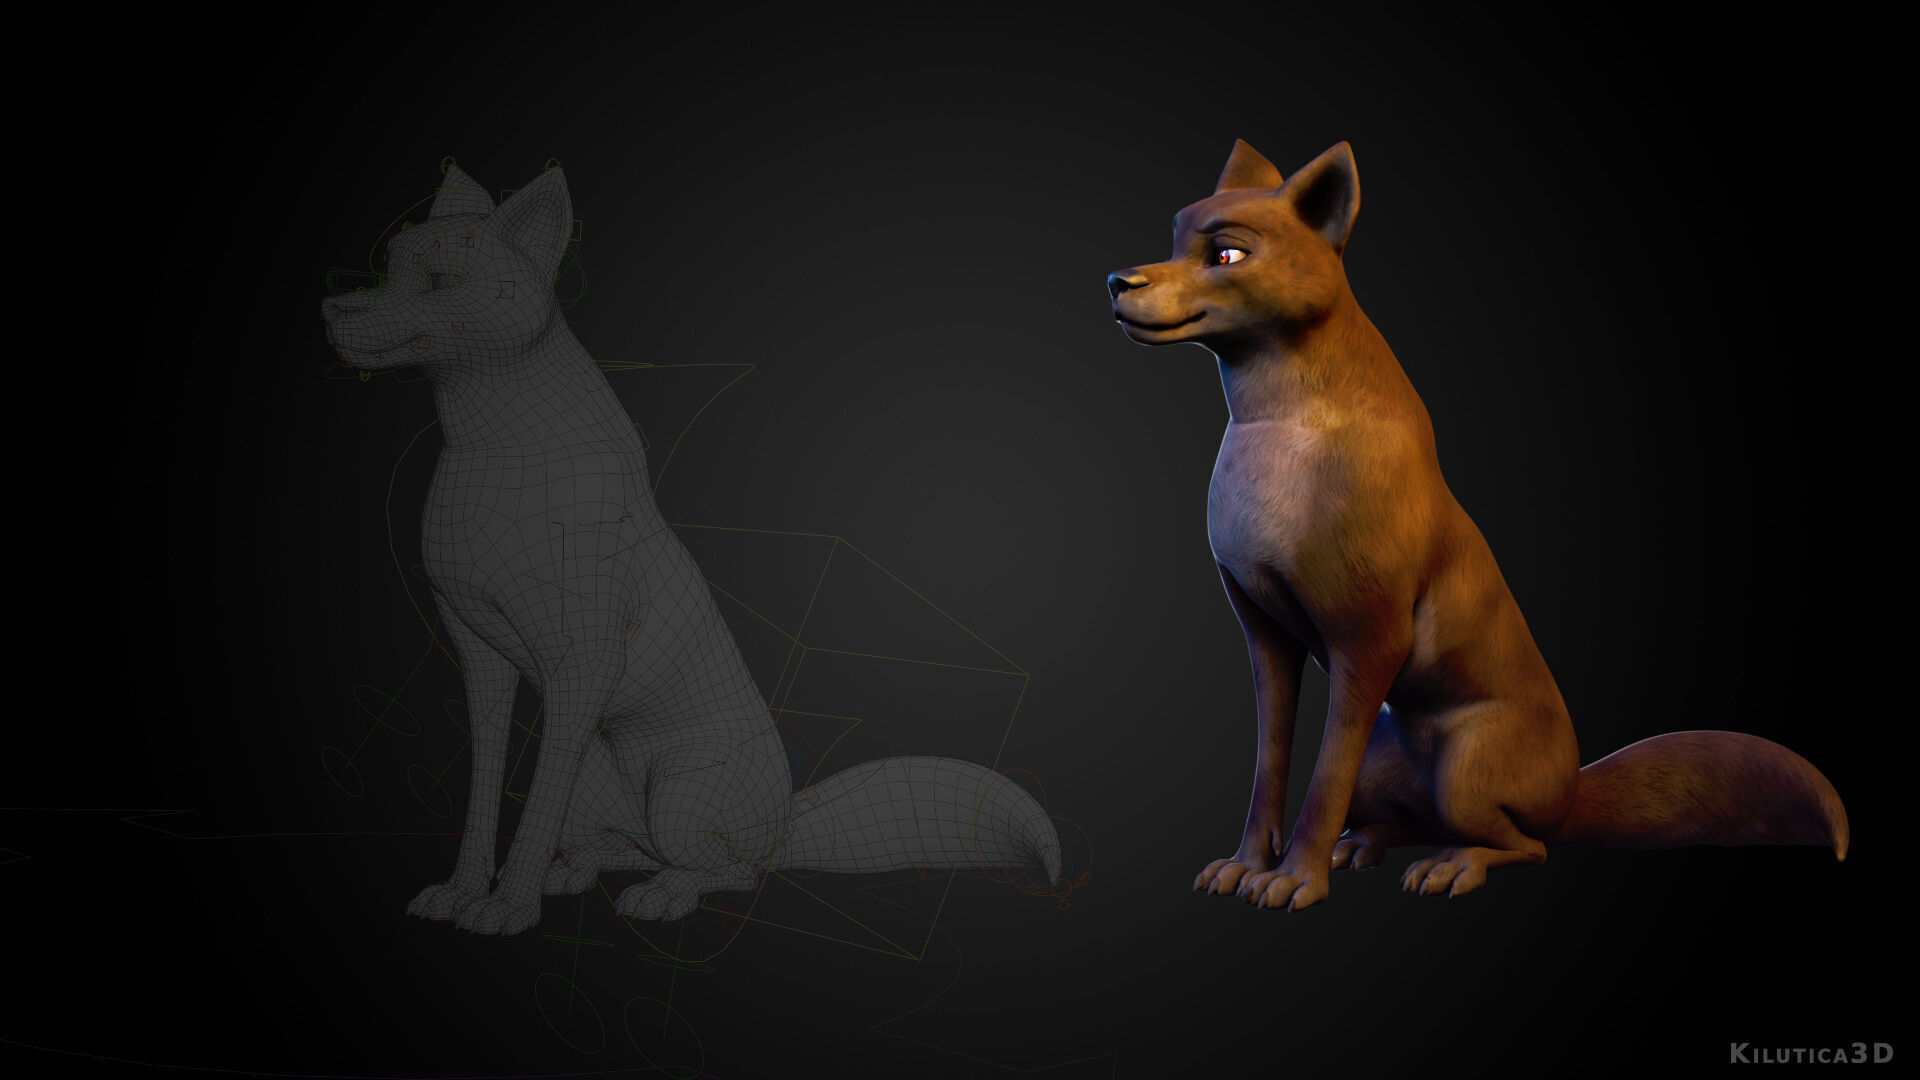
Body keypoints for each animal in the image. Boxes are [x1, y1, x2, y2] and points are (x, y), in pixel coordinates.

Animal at [320, 163, 1060, 935]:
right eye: (387, 268)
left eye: (439, 280)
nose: (330, 308)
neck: (496, 453)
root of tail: (783, 819)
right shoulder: (480, 658)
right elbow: (486, 795)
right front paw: (464, 891)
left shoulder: (581, 663)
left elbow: (535, 807)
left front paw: (507, 907)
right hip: (596, 783)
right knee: (617, 846)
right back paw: (575, 872)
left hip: (679, 795)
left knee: (727, 868)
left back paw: (665, 893)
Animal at [1108, 140, 1846, 910]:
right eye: (1174, 239)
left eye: (1226, 253)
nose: (1116, 281)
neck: (1276, 435)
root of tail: (1572, 790)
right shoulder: (1265, 634)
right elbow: (1270, 770)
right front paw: (1246, 864)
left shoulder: (1367, 640)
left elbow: (1322, 780)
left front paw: (1294, 881)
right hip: (1388, 764)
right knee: (1404, 820)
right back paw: (1363, 846)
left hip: (1465, 771)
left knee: (1523, 843)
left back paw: (1449, 866)